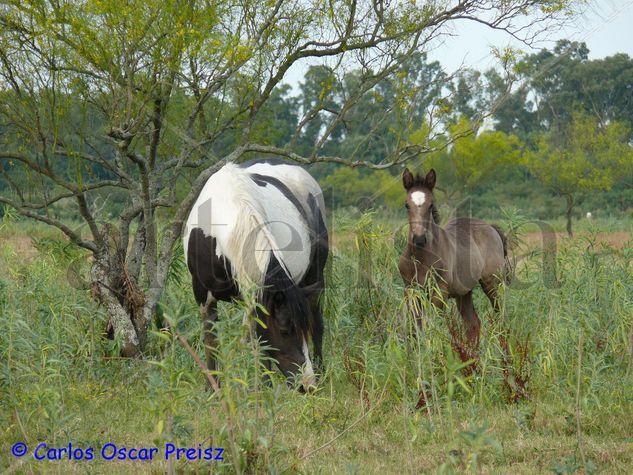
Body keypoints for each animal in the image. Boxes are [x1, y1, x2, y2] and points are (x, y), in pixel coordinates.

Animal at [181, 159, 326, 390]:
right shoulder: (204, 295)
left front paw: (263, 388)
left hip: (315, 279)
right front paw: (214, 388)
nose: (307, 385)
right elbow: (212, 342)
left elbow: (260, 343)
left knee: (318, 324)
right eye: (285, 330)